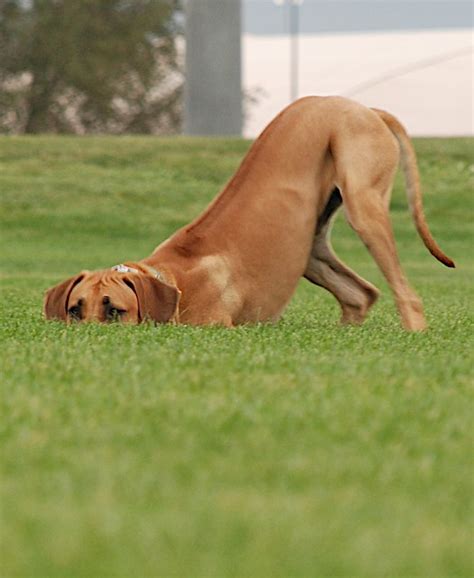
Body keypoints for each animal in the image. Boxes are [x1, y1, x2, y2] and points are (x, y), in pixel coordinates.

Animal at [45, 94, 456, 328]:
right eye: (74, 310)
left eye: (115, 311)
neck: (173, 277)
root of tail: (365, 107)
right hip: (307, 245)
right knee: (361, 294)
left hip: (363, 206)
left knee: (406, 296)